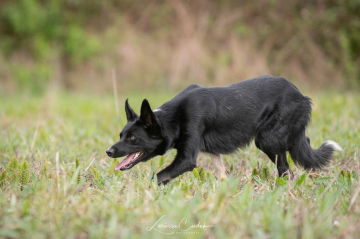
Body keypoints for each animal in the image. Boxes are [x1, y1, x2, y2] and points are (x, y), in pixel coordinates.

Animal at [105, 75, 342, 184]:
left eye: (132, 138)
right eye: (121, 135)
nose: (108, 152)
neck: (173, 118)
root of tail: (302, 97)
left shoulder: (187, 159)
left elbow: (159, 176)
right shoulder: (213, 153)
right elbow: (221, 176)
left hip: (267, 139)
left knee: (286, 170)